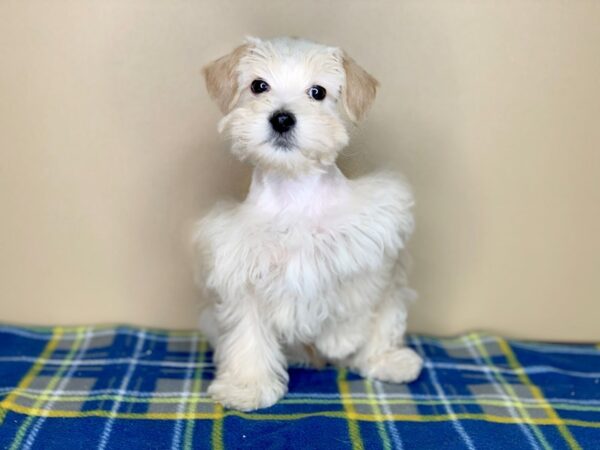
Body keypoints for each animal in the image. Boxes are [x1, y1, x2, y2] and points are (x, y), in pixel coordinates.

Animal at [193, 37, 422, 412]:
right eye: (258, 86)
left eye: (317, 92)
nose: (282, 118)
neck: (294, 191)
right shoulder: (244, 273)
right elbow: (248, 335)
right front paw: (248, 385)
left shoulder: (369, 249)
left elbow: (355, 299)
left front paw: (341, 337)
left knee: (384, 323)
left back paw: (385, 360)